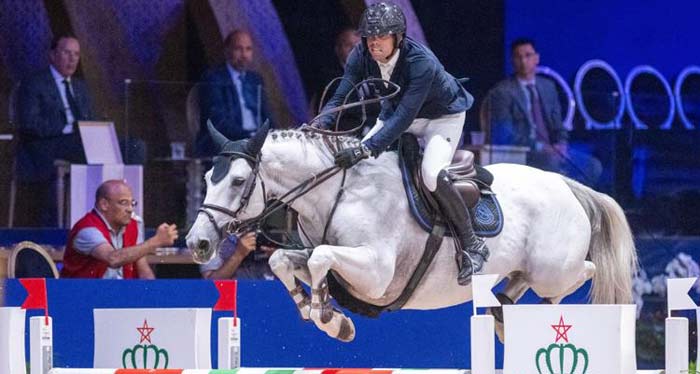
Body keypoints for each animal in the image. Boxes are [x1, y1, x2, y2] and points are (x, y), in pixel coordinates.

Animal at [187, 125, 640, 342]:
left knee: (584, 272)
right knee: (520, 282)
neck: (335, 192)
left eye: (238, 181)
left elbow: (320, 258)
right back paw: (502, 311)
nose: (197, 243)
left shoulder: (375, 273)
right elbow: (287, 260)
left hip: (554, 269)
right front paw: (318, 311)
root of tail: (567, 185)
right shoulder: (327, 260)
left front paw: (329, 317)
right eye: (207, 177)